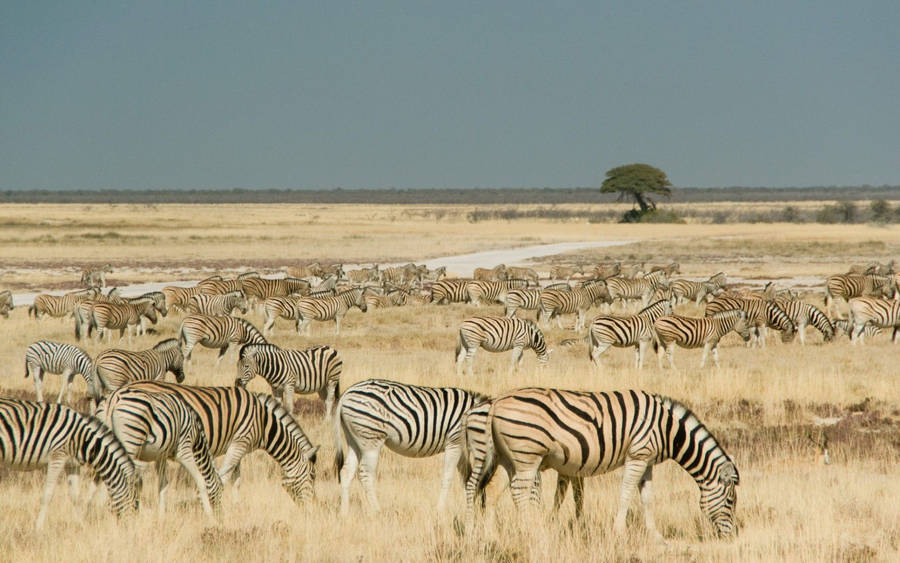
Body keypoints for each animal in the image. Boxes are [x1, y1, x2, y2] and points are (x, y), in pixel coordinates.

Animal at [0, 398, 139, 530]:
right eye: (135, 504)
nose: (130, 529)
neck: (83, 439)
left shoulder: (72, 464)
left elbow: (75, 496)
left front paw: (83, 525)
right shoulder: (58, 456)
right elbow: (48, 494)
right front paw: (38, 528)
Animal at [96, 384, 222, 518]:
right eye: (220, 493)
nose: (221, 516)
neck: (196, 435)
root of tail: (113, 398)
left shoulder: (161, 455)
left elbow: (163, 484)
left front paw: (161, 515)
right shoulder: (184, 450)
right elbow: (200, 479)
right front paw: (209, 515)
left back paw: (103, 511)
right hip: (130, 441)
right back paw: (120, 512)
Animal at [122, 381, 319, 504]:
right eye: (312, 476)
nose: (311, 507)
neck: (263, 421)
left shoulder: (239, 445)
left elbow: (237, 479)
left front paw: (236, 505)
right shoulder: (239, 443)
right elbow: (224, 477)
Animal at [333, 379, 488, 514]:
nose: (484, 509)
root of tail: (347, 393)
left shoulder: (462, 449)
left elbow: (466, 477)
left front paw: (471, 507)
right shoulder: (455, 442)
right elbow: (448, 477)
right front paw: (440, 511)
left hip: (354, 440)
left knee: (346, 472)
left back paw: (344, 513)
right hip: (371, 440)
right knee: (365, 474)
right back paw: (377, 510)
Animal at [474, 388, 740, 539]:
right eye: (730, 501)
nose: (732, 536)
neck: (668, 429)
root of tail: (496, 402)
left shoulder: (647, 461)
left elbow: (647, 498)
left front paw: (655, 535)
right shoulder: (638, 455)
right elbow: (626, 492)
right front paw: (618, 532)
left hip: (507, 458)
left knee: (493, 490)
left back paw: (490, 535)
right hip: (527, 456)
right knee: (519, 492)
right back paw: (533, 531)